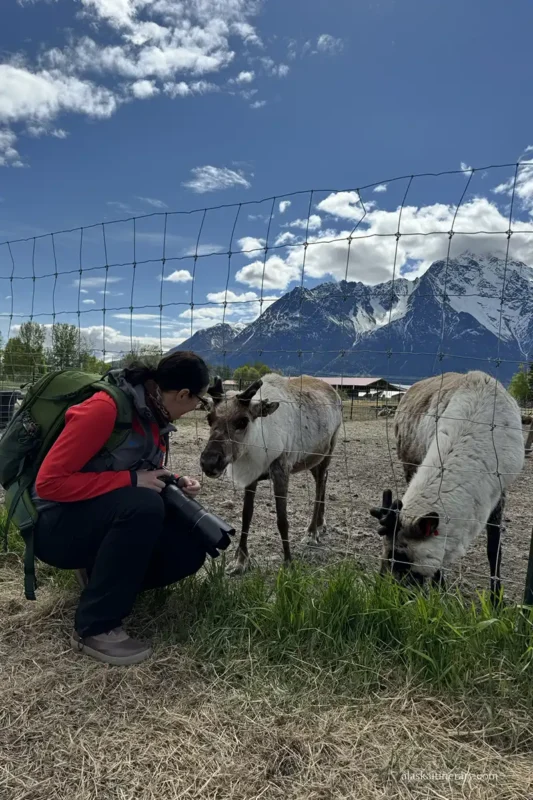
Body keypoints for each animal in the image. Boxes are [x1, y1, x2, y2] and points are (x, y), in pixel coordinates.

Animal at [200, 374, 342, 574]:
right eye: (209, 418)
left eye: (242, 421)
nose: (209, 462)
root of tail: (334, 392)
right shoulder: (251, 476)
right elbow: (246, 515)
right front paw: (240, 560)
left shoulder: (281, 471)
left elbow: (282, 520)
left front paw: (289, 562)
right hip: (312, 459)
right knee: (323, 481)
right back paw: (321, 524)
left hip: (328, 450)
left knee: (320, 485)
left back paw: (312, 532)